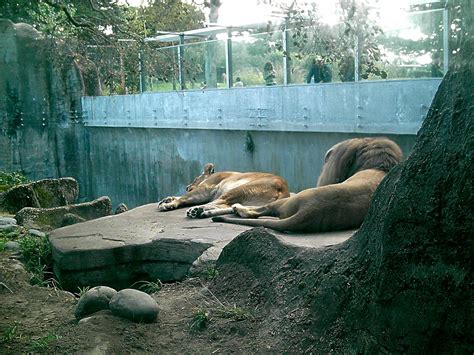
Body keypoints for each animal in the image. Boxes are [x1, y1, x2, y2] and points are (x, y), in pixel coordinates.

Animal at [157, 164, 288, 220]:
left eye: (195, 179)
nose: (187, 186)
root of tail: (284, 190)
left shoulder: (205, 189)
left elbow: (184, 197)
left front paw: (168, 204)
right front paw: (167, 199)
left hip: (238, 189)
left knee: (220, 203)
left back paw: (196, 210)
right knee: (229, 207)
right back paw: (203, 213)